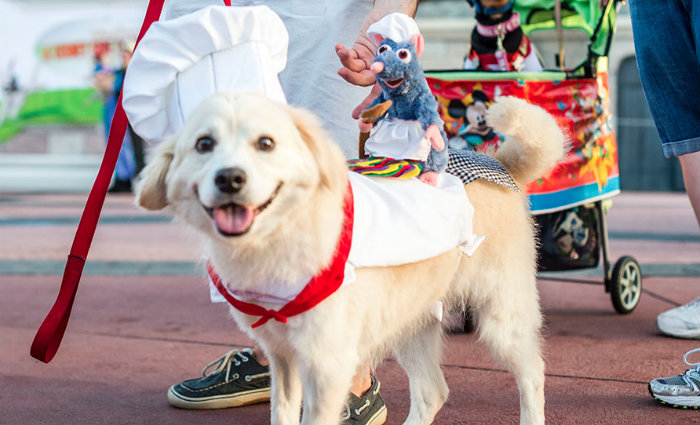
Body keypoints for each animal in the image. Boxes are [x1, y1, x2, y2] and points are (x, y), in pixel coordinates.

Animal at [138, 93, 568, 424]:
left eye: (266, 143)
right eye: (203, 144)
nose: (230, 178)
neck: (279, 238)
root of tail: (498, 163)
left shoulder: (327, 365)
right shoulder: (284, 358)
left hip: (501, 318)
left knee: (533, 375)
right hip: (412, 323)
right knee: (433, 391)